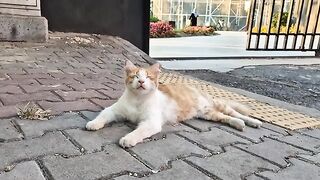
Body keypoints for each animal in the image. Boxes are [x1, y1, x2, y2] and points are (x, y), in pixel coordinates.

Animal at [85, 60, 262, 148]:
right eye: (135, 76)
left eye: (148, 77)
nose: (141, 81)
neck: (138, 100)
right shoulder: (114, 110)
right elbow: (103, 116)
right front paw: (93, 123)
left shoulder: (151, 122)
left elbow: (138, 132)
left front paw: (128, 139)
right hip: (209, 114)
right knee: (226, 117)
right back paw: (238, 124)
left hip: (217, 105)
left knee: (234, 112)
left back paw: (253, 122)